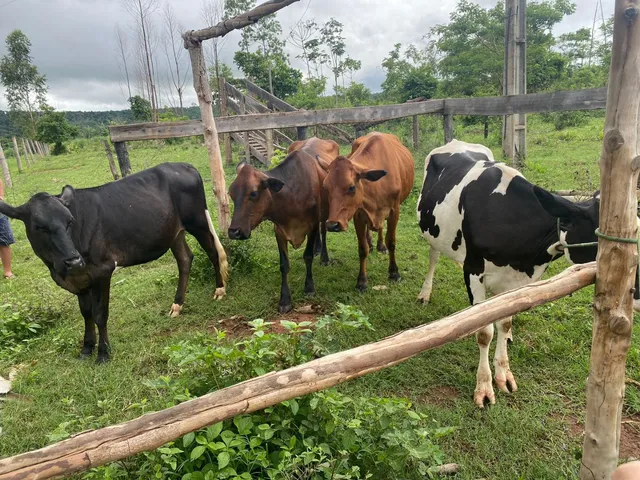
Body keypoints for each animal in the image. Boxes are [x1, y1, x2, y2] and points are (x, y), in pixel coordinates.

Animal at [0, 163, 228, 363]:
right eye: (39, 226)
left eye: (69, 221)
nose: (74, 260)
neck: (59, 270)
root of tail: (183, 165)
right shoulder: (79, 279)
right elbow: (86, 313)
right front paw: (86, 349)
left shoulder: (102, 270)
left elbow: (100, 314)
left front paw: (103, 353)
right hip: (174, 232)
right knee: (184, 259)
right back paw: (177, 305)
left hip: (198, 221)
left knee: (213, 252)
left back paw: (219, 290)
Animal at [228, 137, 339, 313]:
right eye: (231, 194)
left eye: (254, 193)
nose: (234, 232)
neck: (292, 195)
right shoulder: (279, 230)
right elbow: (284, 265)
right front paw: (285, 299)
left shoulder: (313, 224)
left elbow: (307, 256)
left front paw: (309, 288)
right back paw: (318, 249)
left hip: (325, 212)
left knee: (323, 231)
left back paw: (324, 257)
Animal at [323, 132, 414, 291]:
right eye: (325, 187)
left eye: (351, 187)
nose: (332, 225)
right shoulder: (358, 214)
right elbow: (362, 248)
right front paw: (362, 280)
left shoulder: (394, 211)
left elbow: (391, 242)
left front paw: (394, 272)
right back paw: (371, 243)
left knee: (381, 228)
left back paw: (380, 246)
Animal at [416, 139, 629, 407]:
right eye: (603, 236)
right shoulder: (473, 270)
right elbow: (484, 332)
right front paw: (484, 387)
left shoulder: (518, 281)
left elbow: (505, 321)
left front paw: (503, 374)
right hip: (432, 231)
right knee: (433, 256)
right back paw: (425, 293)